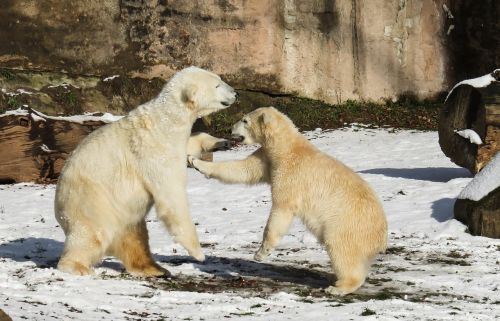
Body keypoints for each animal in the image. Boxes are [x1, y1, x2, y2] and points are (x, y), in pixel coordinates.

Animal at [53, 67, 237, 276]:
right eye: (217, 84)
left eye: (219, 79)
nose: (235, 93)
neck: (166, 121)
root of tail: (59, 210)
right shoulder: (154, 151)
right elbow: (172, 196)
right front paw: (198, 253)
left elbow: (191, 144)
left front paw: (220, 142)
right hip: (91, 202)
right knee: (92, 234)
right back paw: (79, 267)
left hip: (122, 213)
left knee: (134, 234)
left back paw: (154, 268)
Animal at [189, 106, 388, 294]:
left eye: (245, 120)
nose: (230, 129)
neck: (286, 149)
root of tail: (381, 237)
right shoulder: (267, 159)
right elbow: (242, 170)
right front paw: (194, 160)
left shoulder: (291, 175)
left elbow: (281, 209)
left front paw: (261, 253)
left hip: (347, 223)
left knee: (340, 248)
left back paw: (339, 287)